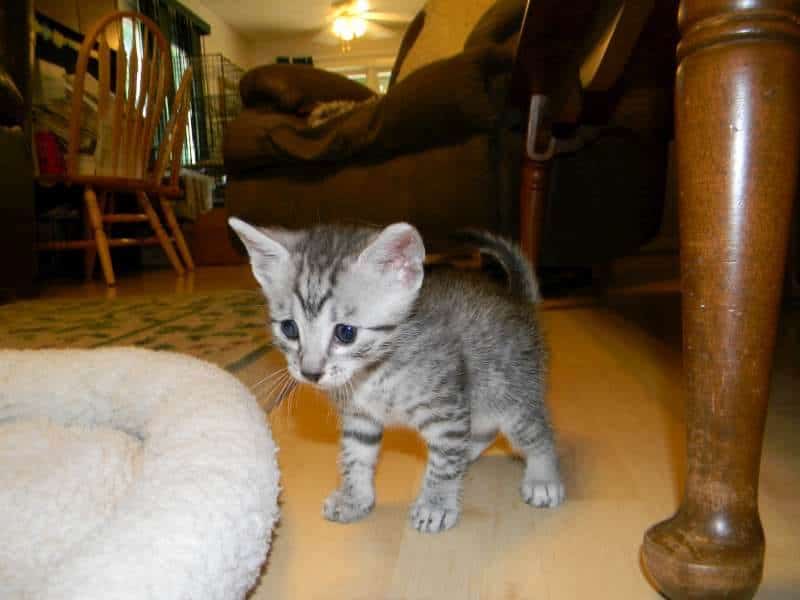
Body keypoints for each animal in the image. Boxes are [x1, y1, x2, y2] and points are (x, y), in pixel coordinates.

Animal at [229, 218, 564, 533]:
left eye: (345, 333)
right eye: (289, 329)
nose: (310, 372)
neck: (372, 373)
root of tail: (519, 301)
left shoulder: (446, 409)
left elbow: (444, 459)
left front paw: (436, 503)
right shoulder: (360, 417)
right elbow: (355, 456)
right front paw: (354, 498)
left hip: (510, 391)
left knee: (536, 432)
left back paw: (543, 478)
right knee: (484, 430)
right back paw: (468, 452)